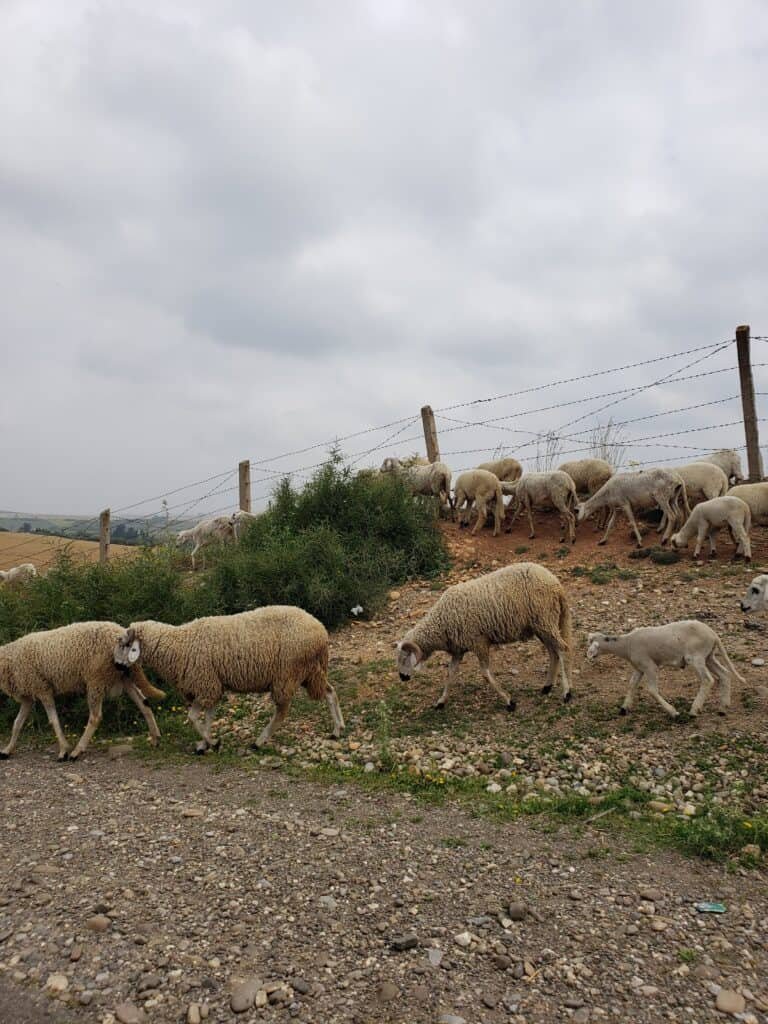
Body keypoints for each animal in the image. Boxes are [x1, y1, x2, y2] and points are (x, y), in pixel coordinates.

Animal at [0, 622, 164, 761]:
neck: (9, 659)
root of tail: (120, 630)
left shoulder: (42, 688)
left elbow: (53, 721)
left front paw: (64, 750)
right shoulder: (28, 695)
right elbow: (17, 723)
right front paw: (7, 750)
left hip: (96, 679)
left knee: (95, 717)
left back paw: (77, 751)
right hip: (123, 676)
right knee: (144, 704)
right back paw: (155, 738)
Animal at [114, 606, 345, 752]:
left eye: (125, 643)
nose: (116, 665)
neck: (179, 645)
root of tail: (320, 630)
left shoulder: (206, 684)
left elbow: (193, 717)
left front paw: (212, 743)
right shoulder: (212, 686)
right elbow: (207, 717)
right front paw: (205, 744)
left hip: (287, 674)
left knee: (281, 712)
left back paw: (259, 742)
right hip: (310, 671)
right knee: (330, 692)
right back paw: (337, 729)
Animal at [395, 563, 572, 710]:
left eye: (405, 658)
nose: (402, 678)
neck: (441, 622)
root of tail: (555, 582)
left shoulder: (479, 642)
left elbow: (485, 674)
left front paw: (509, 701)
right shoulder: (459, 650)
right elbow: (450, 674)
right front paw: (441, 701)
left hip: (545, 620)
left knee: (562, 650)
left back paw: (566, 693)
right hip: (542, 625)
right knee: (553, 653)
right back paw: (547, 687)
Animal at [586, 621, 745, 718]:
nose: (589, 656)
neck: (627, 644)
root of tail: (713, 634)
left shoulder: (649, 666)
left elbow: (652, 690)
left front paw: (673, 712)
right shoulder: (639, 667)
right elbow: (632, 685)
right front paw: (624, 708)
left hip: (696, 656)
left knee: (708, 680)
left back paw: (694, 710)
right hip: (708, 656)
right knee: (724, 674)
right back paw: (723, 708)